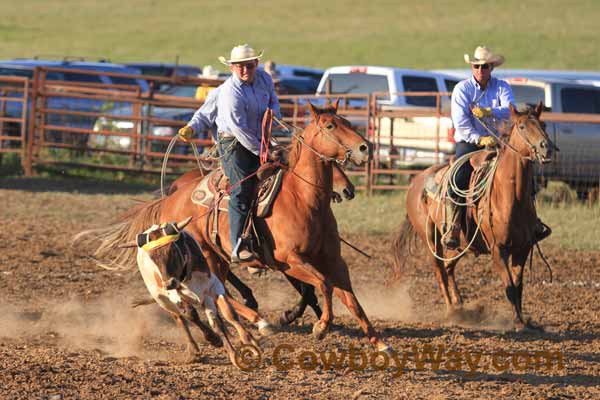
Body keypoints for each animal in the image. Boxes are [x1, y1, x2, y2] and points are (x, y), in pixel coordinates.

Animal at [88, 101, 390, 352]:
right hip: (207, 256)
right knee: (218, 291)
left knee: (221, 289)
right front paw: (320, 326)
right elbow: (323, 285)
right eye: (330, 126)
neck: (303, 199)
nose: (365, 148)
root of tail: (169, 200)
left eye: (348, 122)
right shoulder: (289, 260)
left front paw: (378, 342)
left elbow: (350, 298)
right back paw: (258, 321)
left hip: (218, 257)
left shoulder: (334, 261)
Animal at [392, 104, 556, 332]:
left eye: (543, 124)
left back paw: (460, 306)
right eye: (522, 126)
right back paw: (451, 311)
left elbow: (518, 286)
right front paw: (518, 323)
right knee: (439, 271)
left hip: (462, 243)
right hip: (431, 238)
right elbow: (509, 286)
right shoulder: (498, 250)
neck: (509, 196)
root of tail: (416, 181)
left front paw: (522, 321)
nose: (546, 147)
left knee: (449, 267)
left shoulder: (523, 248)